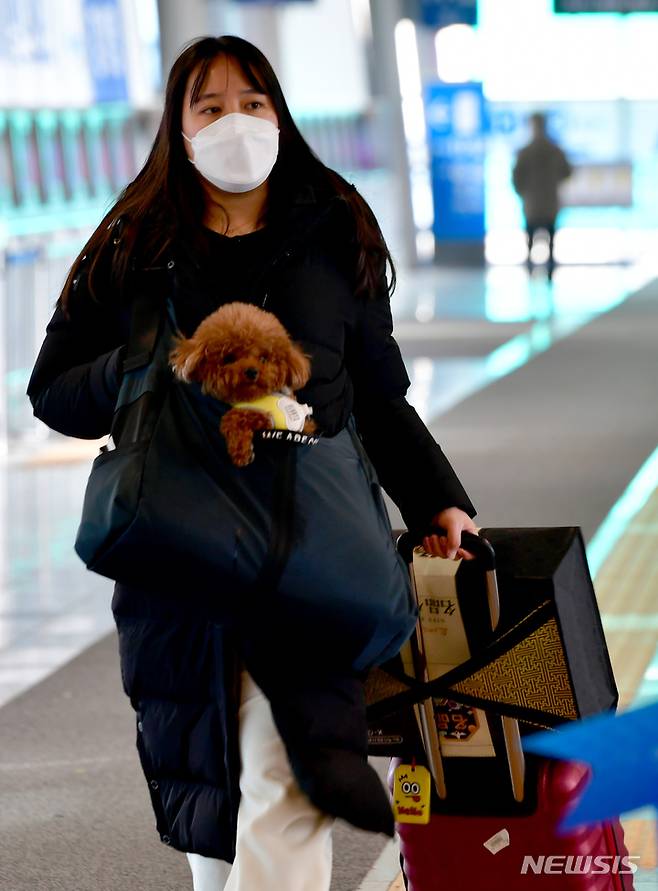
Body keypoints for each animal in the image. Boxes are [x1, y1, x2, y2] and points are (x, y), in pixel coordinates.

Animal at [168, 304, 314, 466]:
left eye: (264, 358)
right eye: (229, 358)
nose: (252, 371)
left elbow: (237, 416)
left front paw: (241, 452)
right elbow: (238, 416)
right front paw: (242, 451)